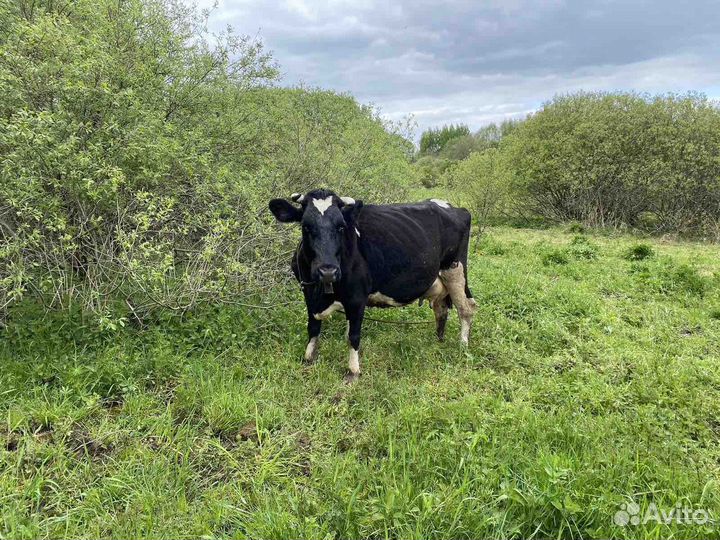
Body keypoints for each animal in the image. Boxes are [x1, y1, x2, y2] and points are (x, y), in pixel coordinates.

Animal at [269, 189, 477, 382]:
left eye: (341, 227)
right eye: (306, 226)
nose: (328, 271)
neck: (322, 293)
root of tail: (454, 207)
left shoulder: (357, 298)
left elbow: (353, 336)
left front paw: (353, 372)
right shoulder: (308, 292)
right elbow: (313, 327)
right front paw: (308, 358)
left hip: (455, 270)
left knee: (466, 308)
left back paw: (463, 346)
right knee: (441, 309)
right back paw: (438, 340)